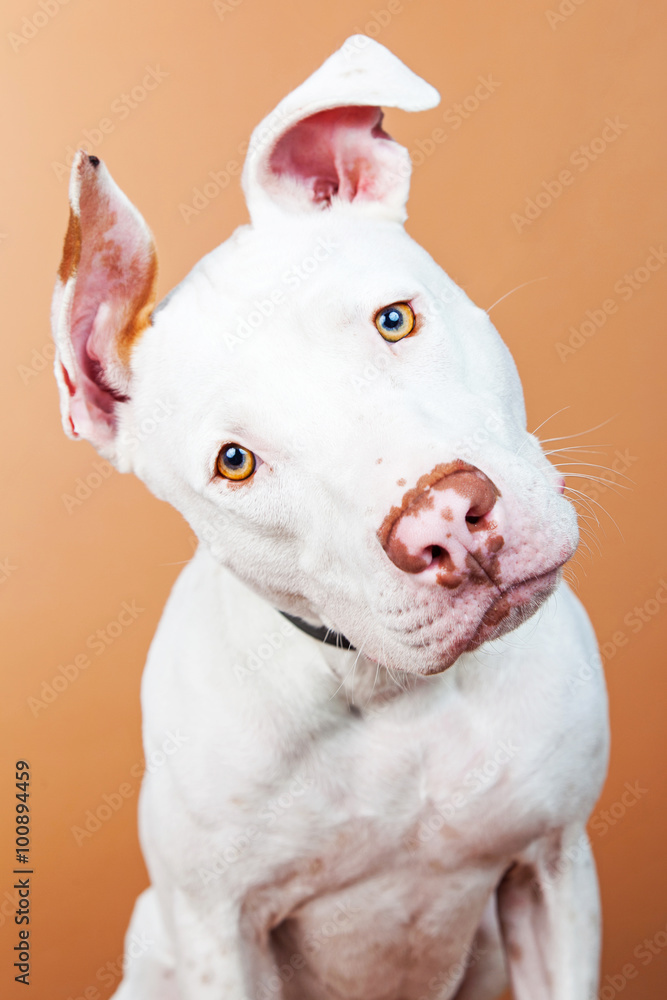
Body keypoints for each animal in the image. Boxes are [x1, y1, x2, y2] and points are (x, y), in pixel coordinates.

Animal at [53, 33, 612, 1000]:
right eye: (234, 462)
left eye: (393, 320)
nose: (446, 523)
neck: (393, 698)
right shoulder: (219, 933)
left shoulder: (551, 869)